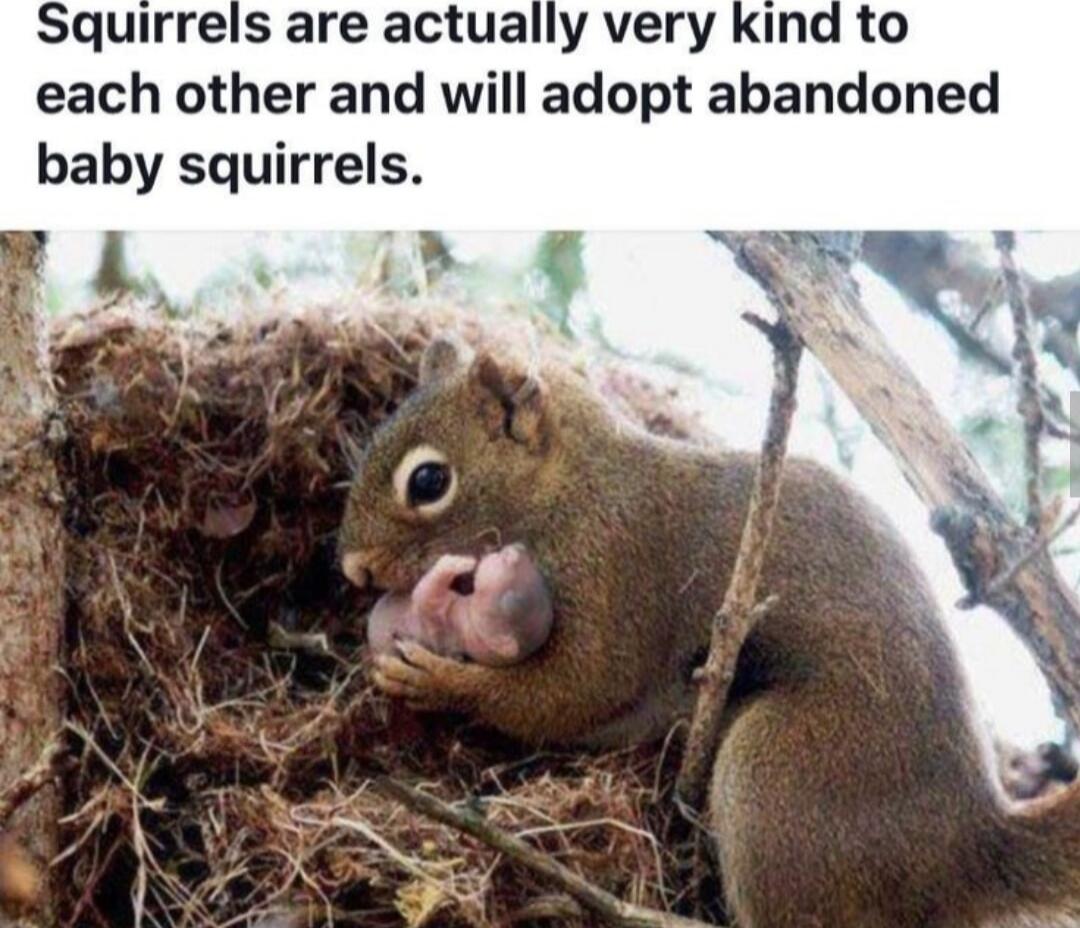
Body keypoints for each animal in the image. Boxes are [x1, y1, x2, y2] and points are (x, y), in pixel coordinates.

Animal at [339, 334, 1080, 928]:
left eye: (428, 480)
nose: (353, 568)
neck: (571, 488)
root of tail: (967, 850)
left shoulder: (619, 570)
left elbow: (574, 693)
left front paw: (437, 679)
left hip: (779, 776)